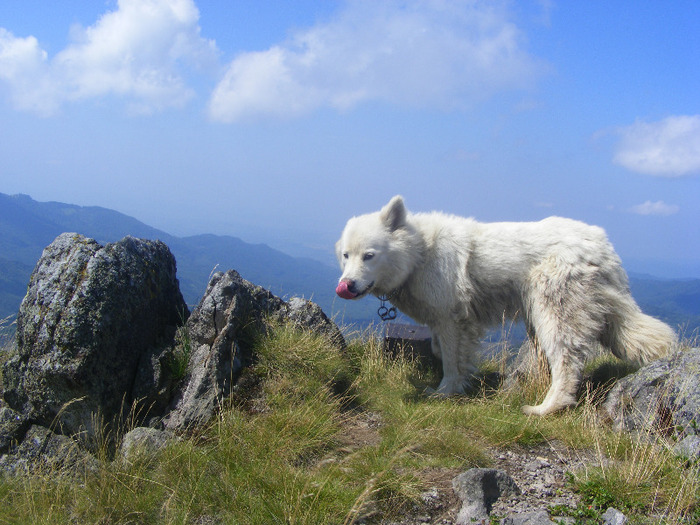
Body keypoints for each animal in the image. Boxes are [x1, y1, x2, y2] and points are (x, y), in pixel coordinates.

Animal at [336, 195, 676, 414]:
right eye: (346, 255)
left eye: (369, 255)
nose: (345, 286)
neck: (420, 253)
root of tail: (602, 245)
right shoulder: (450, 323)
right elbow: (444, 352)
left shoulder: (450, 320)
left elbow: (450, 361)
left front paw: (445, 392)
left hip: (552, 316)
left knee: (567, 363)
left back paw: (547, 408)